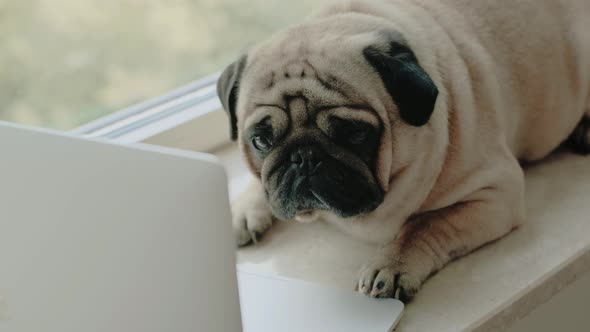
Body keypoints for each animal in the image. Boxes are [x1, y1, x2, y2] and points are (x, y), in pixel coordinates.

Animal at [217, 0, 590, 300]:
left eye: (355, 133)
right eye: (262, 141)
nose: (303, 157)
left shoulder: (495, 192)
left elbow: (425, 225)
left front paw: (391, 266)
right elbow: (258, 181)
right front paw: (241, 210)